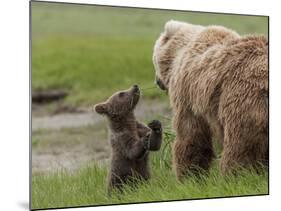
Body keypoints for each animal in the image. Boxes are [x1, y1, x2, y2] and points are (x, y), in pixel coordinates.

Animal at [151, 20, 266, 181]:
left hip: (243, 100)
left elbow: (190, 134)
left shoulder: (187, 93)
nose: (157, 81)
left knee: (241, 147)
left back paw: (235, 176)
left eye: (153, 59)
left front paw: (188, 175)